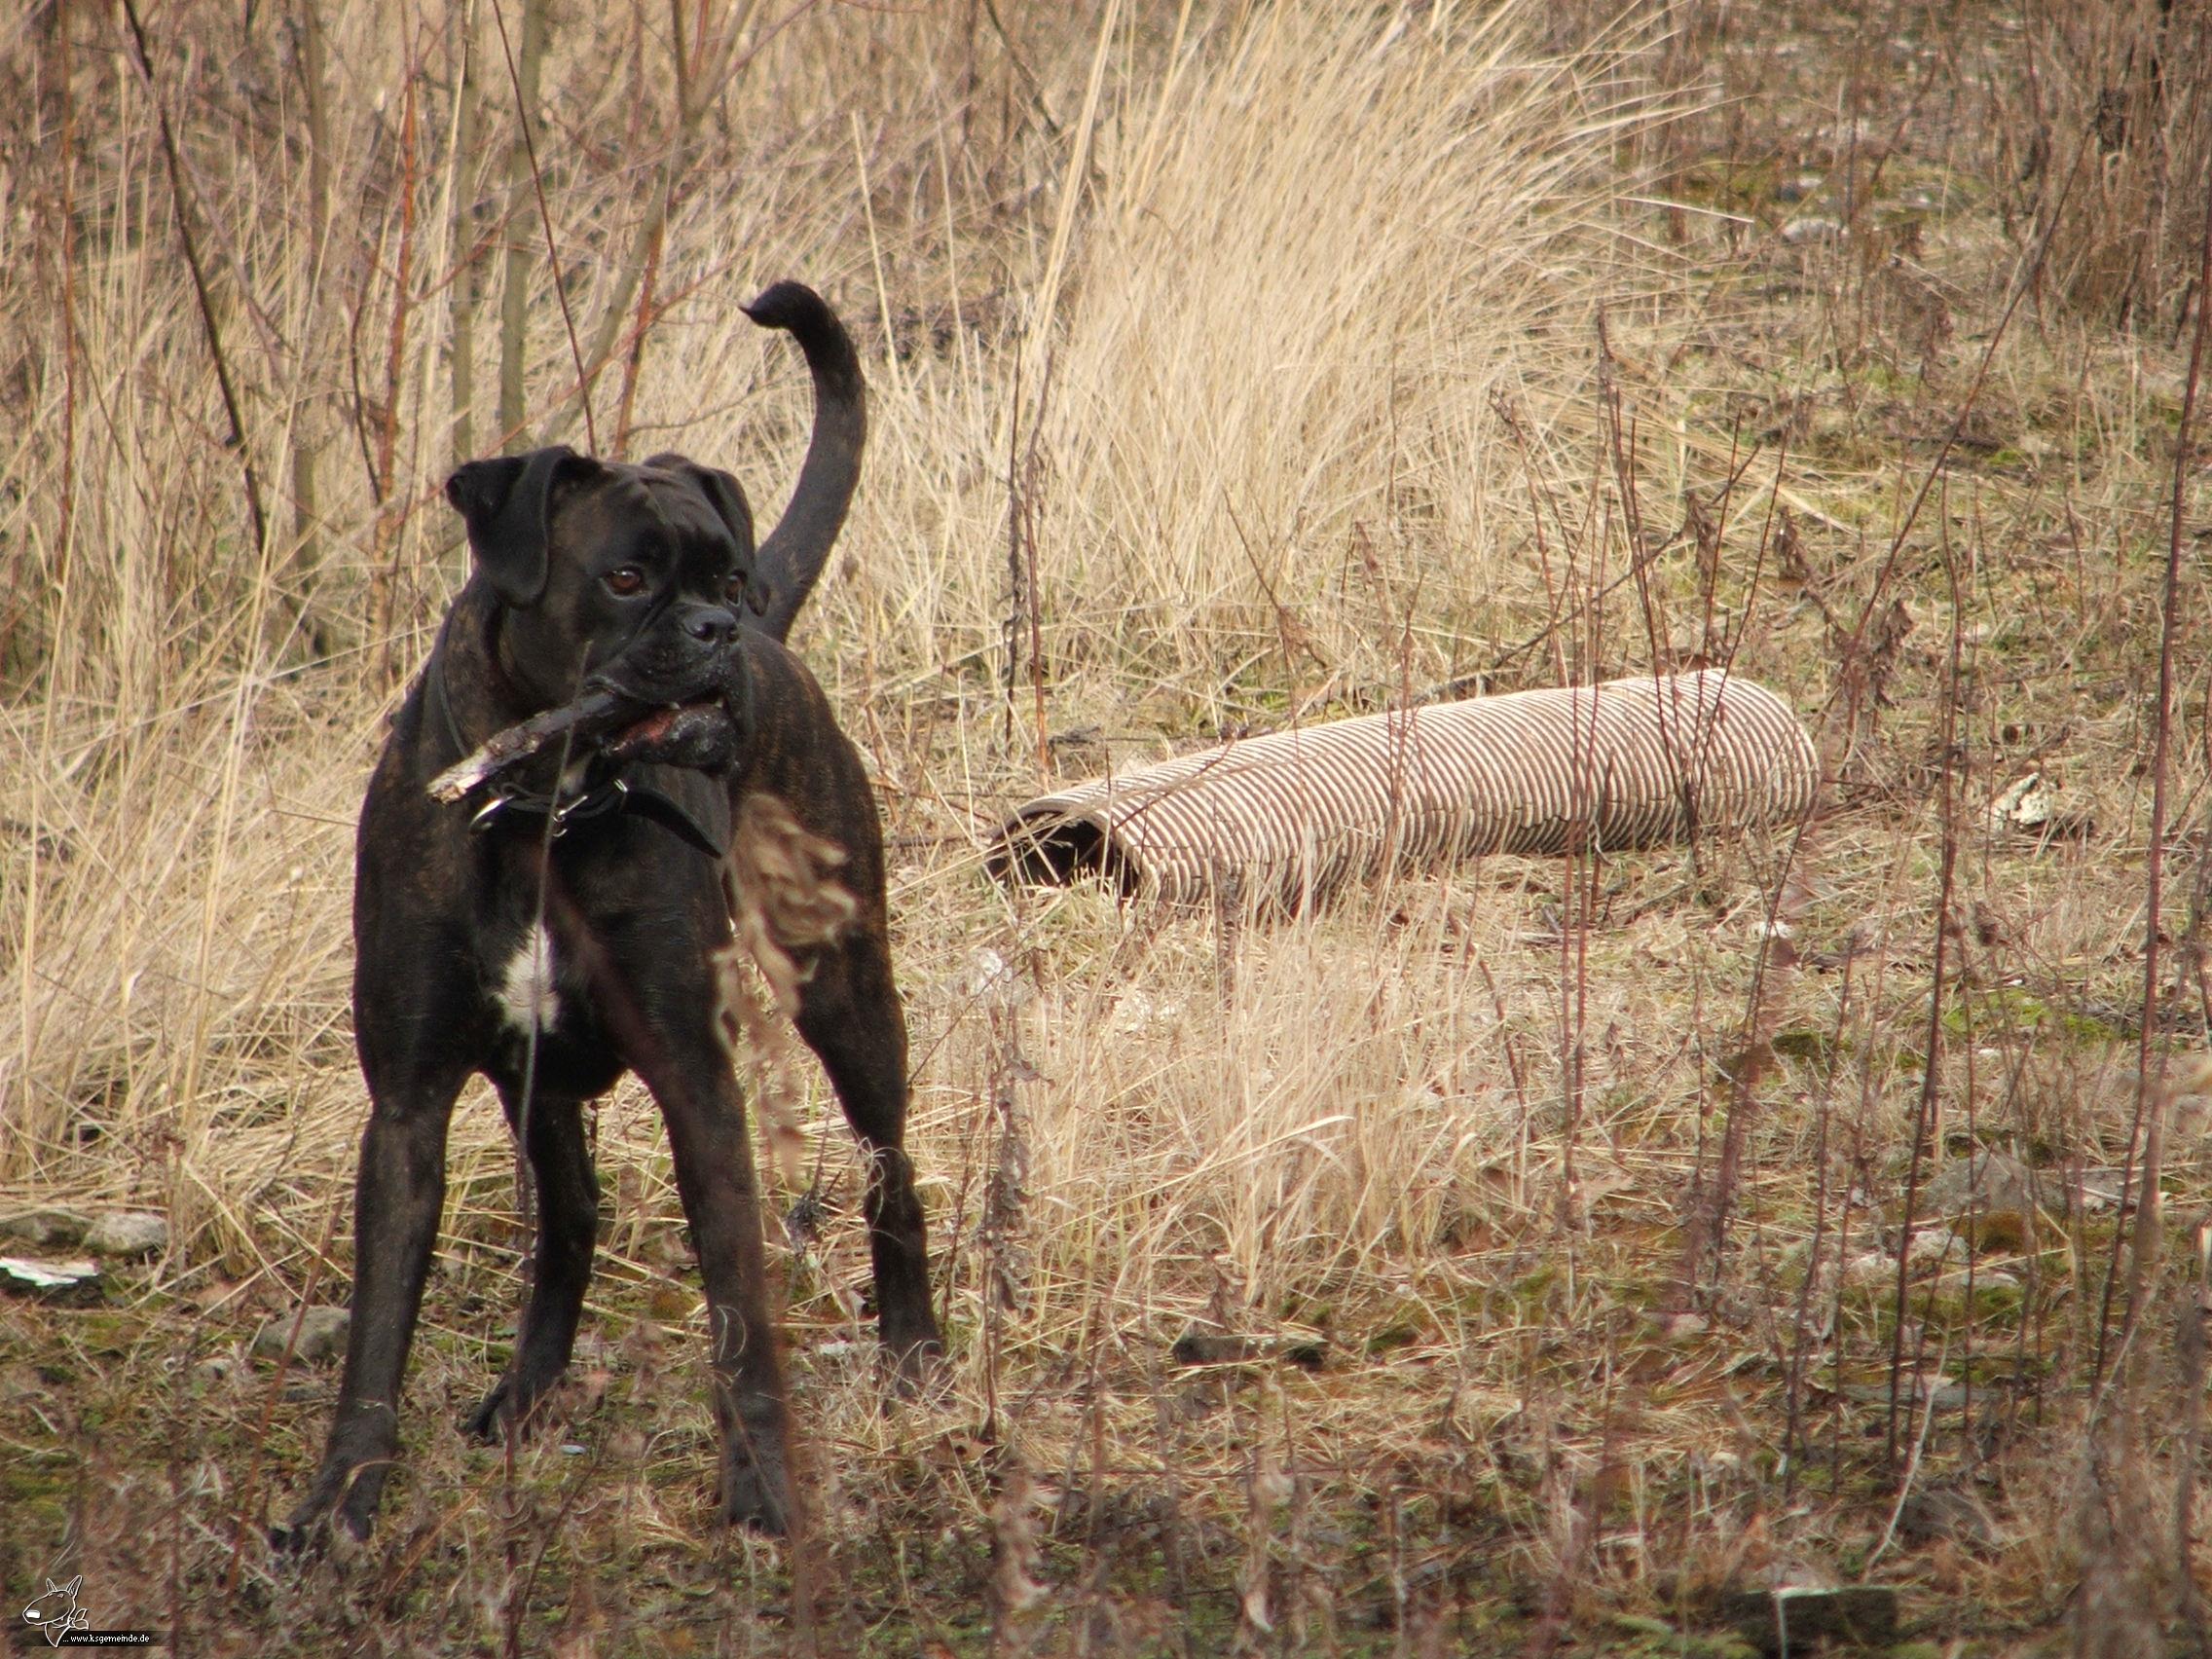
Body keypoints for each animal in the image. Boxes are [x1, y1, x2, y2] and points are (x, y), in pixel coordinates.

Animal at [280, 282, 938, 1548]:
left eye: (722, 582)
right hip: (536, 1086)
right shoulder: (409, 1106)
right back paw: (527, 1396)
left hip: (847, 994)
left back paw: (916, 1347)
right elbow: (378, 1331)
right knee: (572, 1217)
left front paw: (761, 1487)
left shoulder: (698, 1085)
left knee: (891, 1170)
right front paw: (337, 1504)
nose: (722, 630)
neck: (540, 811)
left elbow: (738, 1310)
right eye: (627, 581)